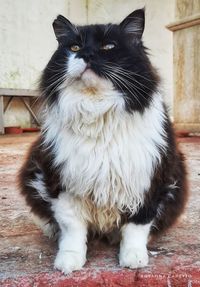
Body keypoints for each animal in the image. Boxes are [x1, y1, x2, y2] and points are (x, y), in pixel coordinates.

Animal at [18, 9, 188, 274]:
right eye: (75, 47)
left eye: (109, 46)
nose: (86, 54)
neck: (97, 109)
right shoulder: (62, 181)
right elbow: (72, 229)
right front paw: (69, 261)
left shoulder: (150, 180)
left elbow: (136, 227)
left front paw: (134, 258)